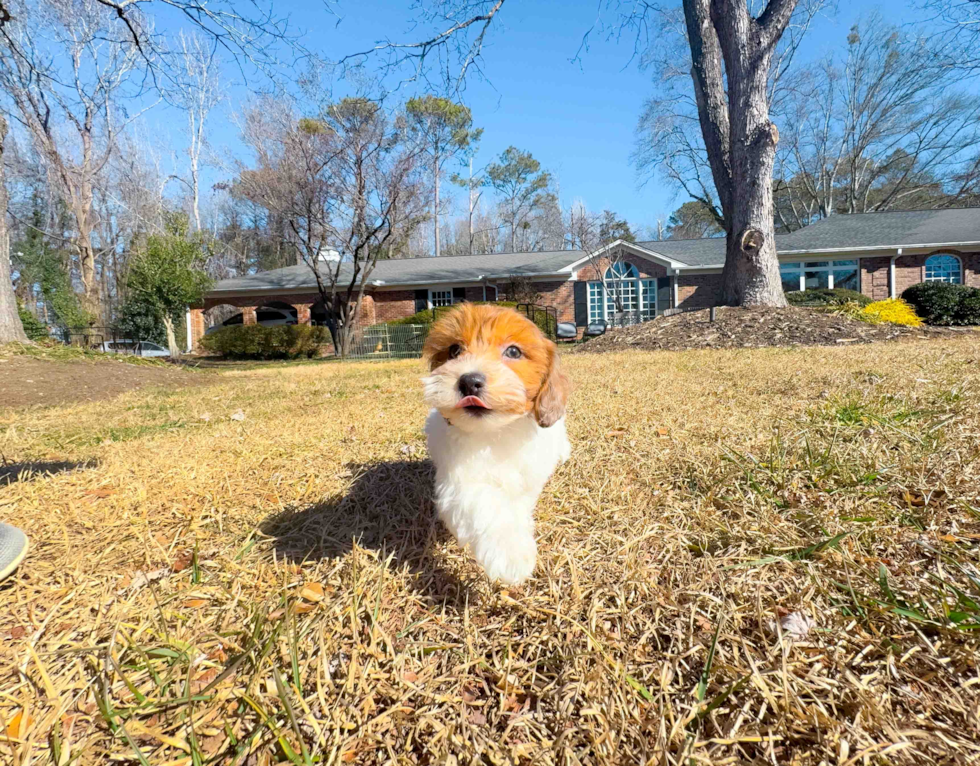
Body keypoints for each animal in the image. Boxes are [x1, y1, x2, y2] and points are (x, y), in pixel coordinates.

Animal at [424, 304, 576, 584]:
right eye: (454, 350)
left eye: (513, 351)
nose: (468, 381)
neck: (496, 432)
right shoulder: (458, 481)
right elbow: (484, 504)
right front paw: (510, 551)